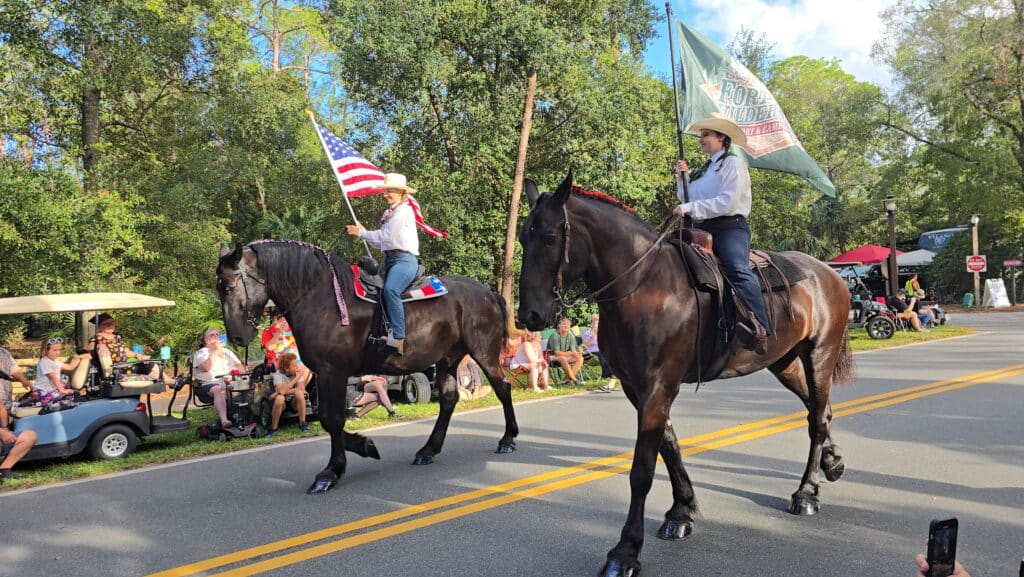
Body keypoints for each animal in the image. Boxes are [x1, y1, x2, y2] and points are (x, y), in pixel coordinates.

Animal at [217, 241, 520, 493]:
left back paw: (507, 439)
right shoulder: (324, 374)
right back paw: (428, 450)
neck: (319, 299)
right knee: (448, 399)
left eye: (230, 288)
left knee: (503, 388)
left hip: (484, 353)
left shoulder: (333, 372)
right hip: (448, 359)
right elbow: (327, 418)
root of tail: (488, 293)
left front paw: (332, 471)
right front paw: (364, 445)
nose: (236, 337)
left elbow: (333, 419)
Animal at [516, 173, 851, 577]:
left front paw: (625, 551)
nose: (528, 316)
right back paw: (831, 463)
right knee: (821, 410)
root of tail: (830, 274)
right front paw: (681, 512)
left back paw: (806, 492)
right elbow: (670, 446)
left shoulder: (657, 386)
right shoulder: (637, 387)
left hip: (820, 355)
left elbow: (643, 468)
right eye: (523, 237)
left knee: (816, 419)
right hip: (784, 362)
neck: (643, 285)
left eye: (550, 237)